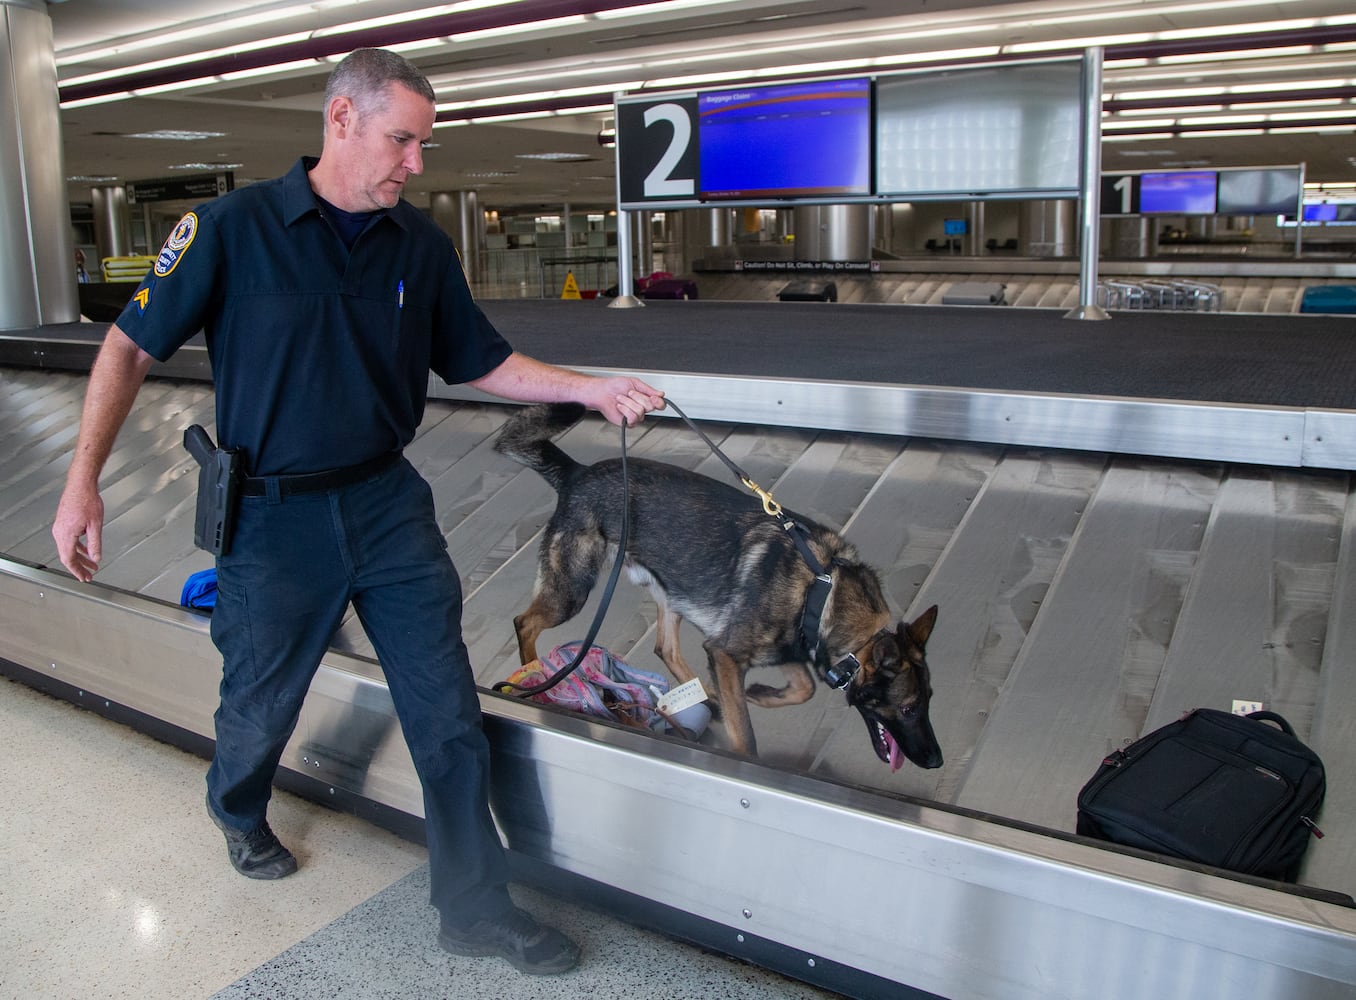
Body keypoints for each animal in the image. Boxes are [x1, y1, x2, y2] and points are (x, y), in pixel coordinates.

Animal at [496, 401, 943, 770]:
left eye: (929, 703)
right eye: (908, 709)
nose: (937, 760)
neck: (824, 590)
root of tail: (579, 472)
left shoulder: (788, 645)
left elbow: (803, 688)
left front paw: (759, 694)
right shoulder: (727, 652)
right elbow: (746, 734)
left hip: (672, 592)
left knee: (666, 647)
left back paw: (707, 696)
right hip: (571, 593)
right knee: (524, 622)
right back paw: (532, 671)